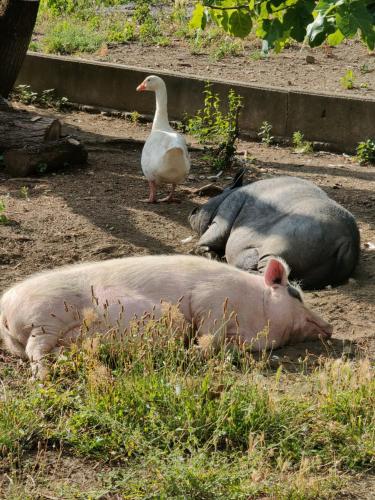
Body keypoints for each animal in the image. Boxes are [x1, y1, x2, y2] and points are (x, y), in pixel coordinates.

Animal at [0, 258, 332, 378]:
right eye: (296, 294)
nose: (329, 327)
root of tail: (5, 308)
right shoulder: (211, 301)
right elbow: (208, 336)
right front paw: (192, 350)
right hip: (46, 317)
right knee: (35, 350)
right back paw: (44, 375)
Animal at [191, 175, 362, 290]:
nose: (193, 210)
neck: (230, 193)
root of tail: (347, 241)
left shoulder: (225, 213)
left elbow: (211, 236)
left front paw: (199, 250)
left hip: (285, 243)